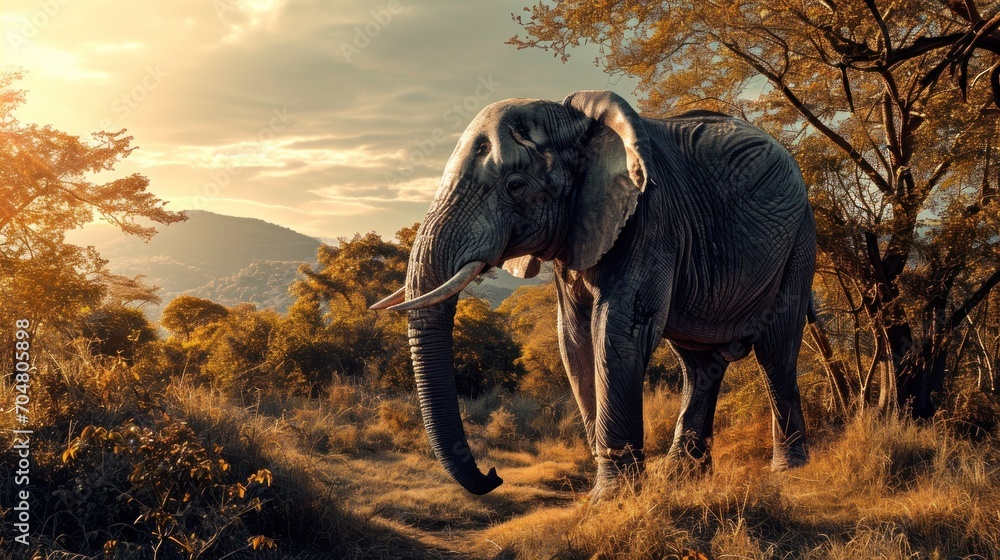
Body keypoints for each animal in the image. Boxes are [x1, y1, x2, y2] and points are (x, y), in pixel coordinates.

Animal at [371, 90, 816, 498]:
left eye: (515, 185)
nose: (494, 475)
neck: (576, 123)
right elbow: (574, 339)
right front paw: (620, 491)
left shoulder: (649, 218)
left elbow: (615, 331)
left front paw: (610, 498)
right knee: (698, 364)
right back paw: (681, 477)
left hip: (797, 242)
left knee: (775, 350)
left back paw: (788, 471)